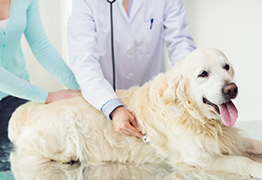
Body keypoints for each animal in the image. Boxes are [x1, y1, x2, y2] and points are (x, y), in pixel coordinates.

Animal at [7, 48, 262, 179]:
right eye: (203, 74)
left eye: (226, 67)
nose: (232, 89)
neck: (190, 113)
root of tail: (27, 110)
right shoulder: (196, 157)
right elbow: (240, 161)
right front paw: (257, 168)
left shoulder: (230, 138)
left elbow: (253, 143)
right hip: (67, 126)